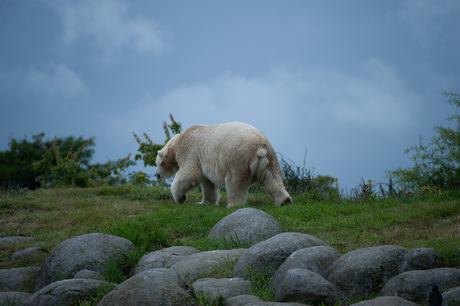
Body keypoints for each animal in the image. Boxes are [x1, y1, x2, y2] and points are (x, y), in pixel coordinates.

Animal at [155, 122, 292, 208]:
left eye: (157, 163)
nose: (156, 175)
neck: (178, 141)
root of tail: (260, 146)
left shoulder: (189, 150)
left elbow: (189, 174)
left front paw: (180, 198)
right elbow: (207, 183)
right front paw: (204, 203)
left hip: (237, 158)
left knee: (235, 182)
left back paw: (232, 204)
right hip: (270, 157)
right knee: (272, 179)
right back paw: (284, 201)